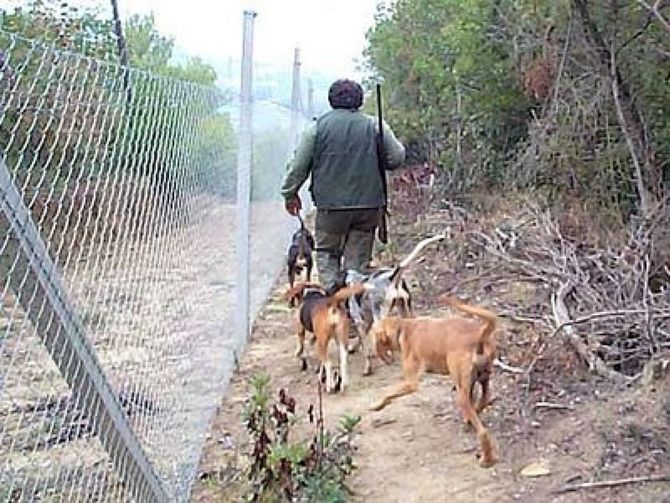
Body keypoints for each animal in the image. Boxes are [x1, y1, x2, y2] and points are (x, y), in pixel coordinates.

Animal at [330, 234, 446, 376]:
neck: (352, 281)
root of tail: (392, 277)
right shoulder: (366, 322)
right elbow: (361, 341)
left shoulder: (360, 321)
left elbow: (365, 348)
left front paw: (368, 367)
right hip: (406, 310)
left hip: (381, 317)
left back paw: (386, 358)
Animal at [372, 296, 498, 468]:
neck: (403, 328)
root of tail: (480, 335)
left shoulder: (411, 383)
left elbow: (388, 393)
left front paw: (377, 405)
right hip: (481, 379)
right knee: (484, 399)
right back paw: (471, 420)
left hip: (460, 394)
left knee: (483, 431)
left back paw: (486, 459)